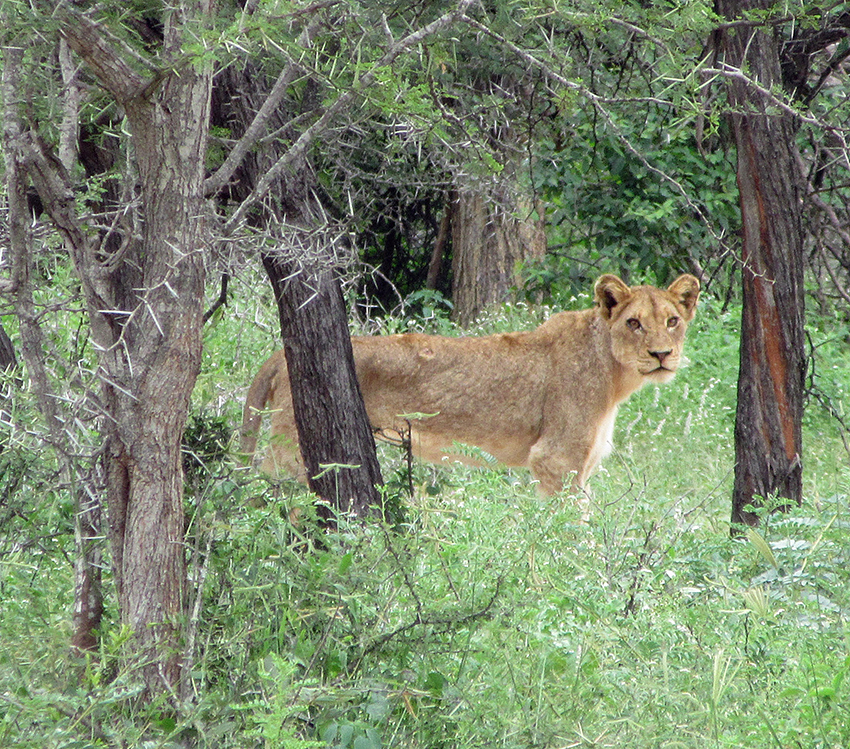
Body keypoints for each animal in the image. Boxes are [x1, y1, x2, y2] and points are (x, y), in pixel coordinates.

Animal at [241, 273, 699, 496]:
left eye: (672, 320)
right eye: (634, 323)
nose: (662, 354)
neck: (615, 375)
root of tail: (282, 353)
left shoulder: (575, 467)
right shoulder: (556, 460)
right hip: (292, 450)